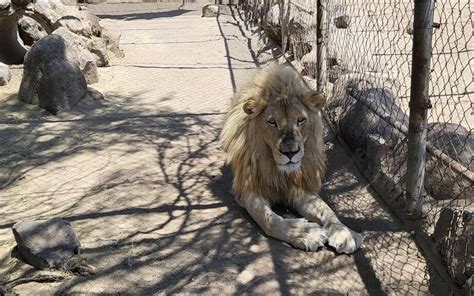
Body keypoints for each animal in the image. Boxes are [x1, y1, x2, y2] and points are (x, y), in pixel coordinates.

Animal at [220, 63, 362, 253]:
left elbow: (327, 209)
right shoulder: (249, 189)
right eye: (271, 122)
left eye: (301, 120)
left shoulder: (301, 188)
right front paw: (303, 233)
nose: (290, 153)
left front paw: (344, 232)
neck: (279, 171)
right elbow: (268, 218)